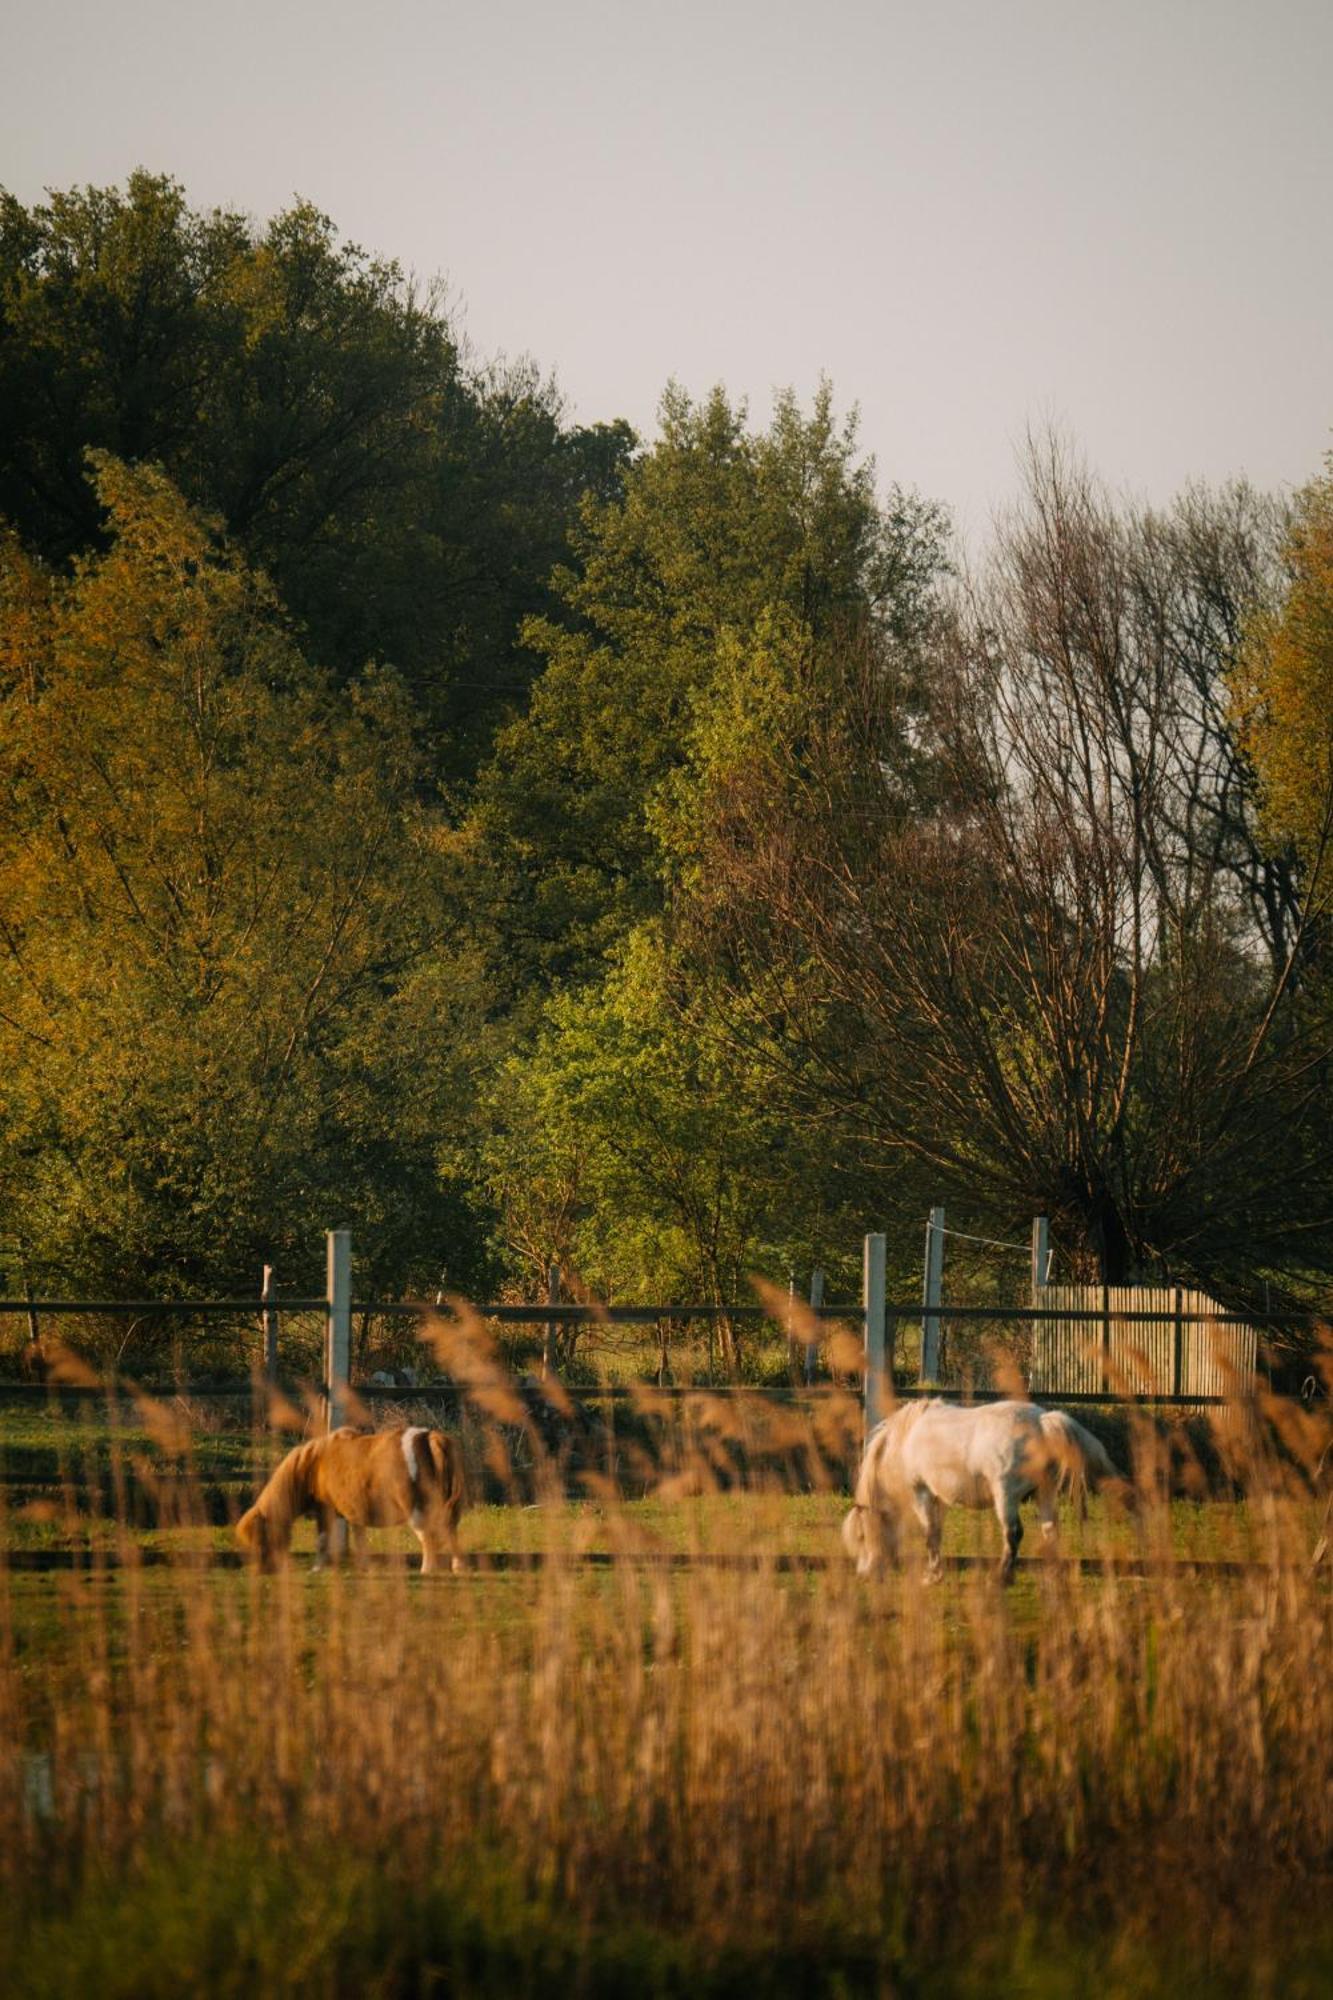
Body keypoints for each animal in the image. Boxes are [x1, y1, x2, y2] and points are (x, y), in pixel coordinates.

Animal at [236, 1424, 464, 1576]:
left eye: (260, 1537)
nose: (260, 1571)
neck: (312, 1465)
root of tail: (428, 1437)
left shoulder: (324, 1510)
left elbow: (322, 1540)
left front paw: (317, 1568)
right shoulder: (355, 1512)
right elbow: (359, 1538)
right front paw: (364, 1567)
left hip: (417, 1511)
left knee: (428, 1538)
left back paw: (427, 1570)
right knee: (450, 1532)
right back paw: (457, 1566)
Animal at [840, 1400, 1112, 1584]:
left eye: (862, 1536)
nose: (863, 1574)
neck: (905, 1442)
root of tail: (1042, 1421)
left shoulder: (922, 1493)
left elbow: (929, 1533)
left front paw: (932, 1575)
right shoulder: (939, 1499)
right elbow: (936, 1533)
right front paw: (936, 1571)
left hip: (1006, 1497)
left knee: (1013, 1533)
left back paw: (1002, 1576)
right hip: (1044, 1493)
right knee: (1050, 1529)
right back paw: (1052, 1572)